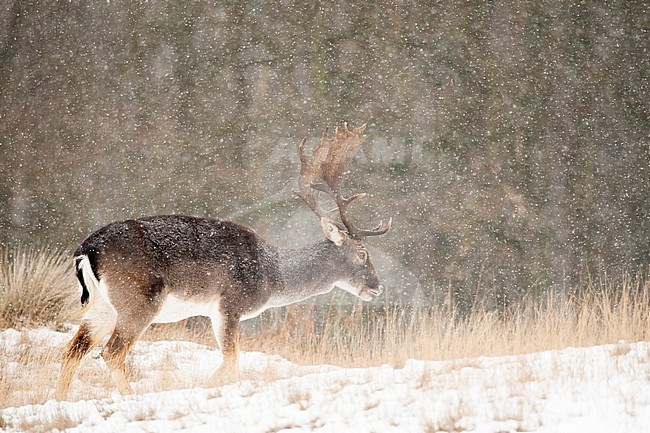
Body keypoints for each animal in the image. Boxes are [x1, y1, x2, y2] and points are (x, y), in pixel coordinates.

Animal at [54, 121, 390, 398]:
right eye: (362, 254)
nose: (377, 286)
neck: (272, 277)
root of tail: (86, 248)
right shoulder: (229, 303)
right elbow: (231, 361)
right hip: (138, 299)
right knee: (111, 352)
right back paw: (129, 396)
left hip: (102, 306)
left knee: (72, 350)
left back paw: (60, 399)